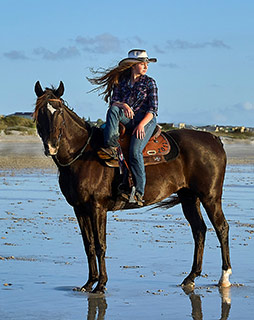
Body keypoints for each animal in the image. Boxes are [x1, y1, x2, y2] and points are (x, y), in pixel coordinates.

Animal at [33, 81, 232, 294]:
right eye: (39, 112)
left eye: (60, 111)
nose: (51, 146)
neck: (82, 155)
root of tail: (214, 139)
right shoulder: (79, 209)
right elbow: (89, 245)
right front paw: (89, 283)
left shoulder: (97, 208)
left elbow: (100, 245)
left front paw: (101, 284)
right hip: (189, 197)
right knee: (199, 230)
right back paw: (190, 277)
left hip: (210, 196)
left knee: (221, 228)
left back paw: (224, 277)